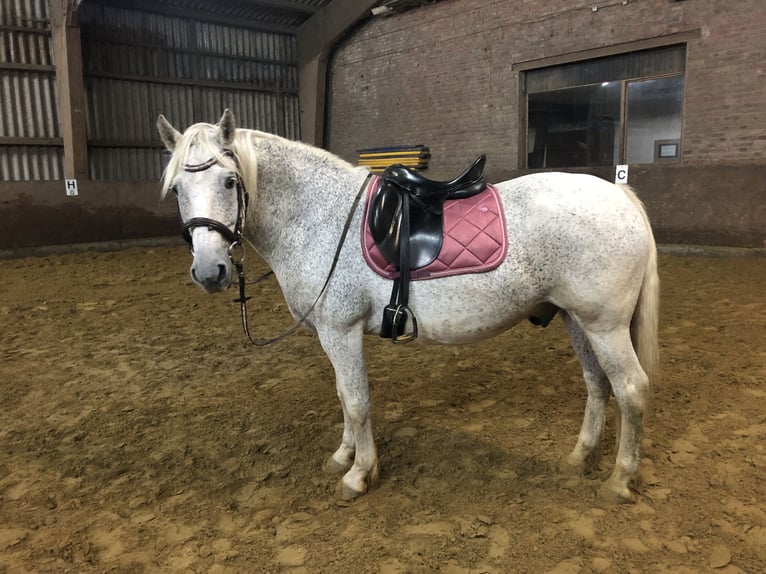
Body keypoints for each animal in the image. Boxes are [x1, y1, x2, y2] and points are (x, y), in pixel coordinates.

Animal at [156, 110, 660, 506]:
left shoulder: (341, 331)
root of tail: (618, 195)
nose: (210, 271)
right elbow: (342, 395)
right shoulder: (331, 336)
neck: (317, 216)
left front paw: (359, 474)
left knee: (631, 389)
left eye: (229, 181)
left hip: (605, 325)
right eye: (178, 188)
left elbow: (356, 401)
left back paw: (619, 480)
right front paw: (343, 456)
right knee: (597, 385)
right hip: (578, 321)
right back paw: (579, 458)